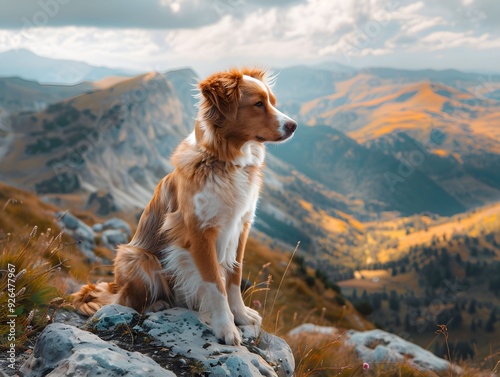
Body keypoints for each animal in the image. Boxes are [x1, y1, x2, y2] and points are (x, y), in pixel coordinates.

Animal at [70, 67, 296, 344]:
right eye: (258, 104)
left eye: (272, 102)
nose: (294, 126)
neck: (225, 162)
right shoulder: (199, 232)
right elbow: (216, 284)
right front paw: (226, 327)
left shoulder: (241, 226)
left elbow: (234, 277)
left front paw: (241, 315)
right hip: (136, 257)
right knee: (126, 300)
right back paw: (157, 304)